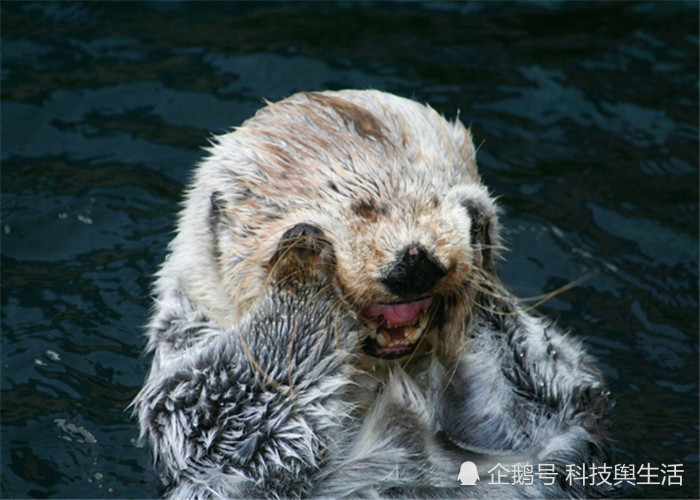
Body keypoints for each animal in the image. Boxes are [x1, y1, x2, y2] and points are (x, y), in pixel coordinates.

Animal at [131, 91, 608, 500]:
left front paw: (476, 224)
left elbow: (546, 396)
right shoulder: (188, 375)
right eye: (360, 209)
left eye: (437, 200)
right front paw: (303, 262)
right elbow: (224, 413)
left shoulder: (538, 428)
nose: (415, 261)